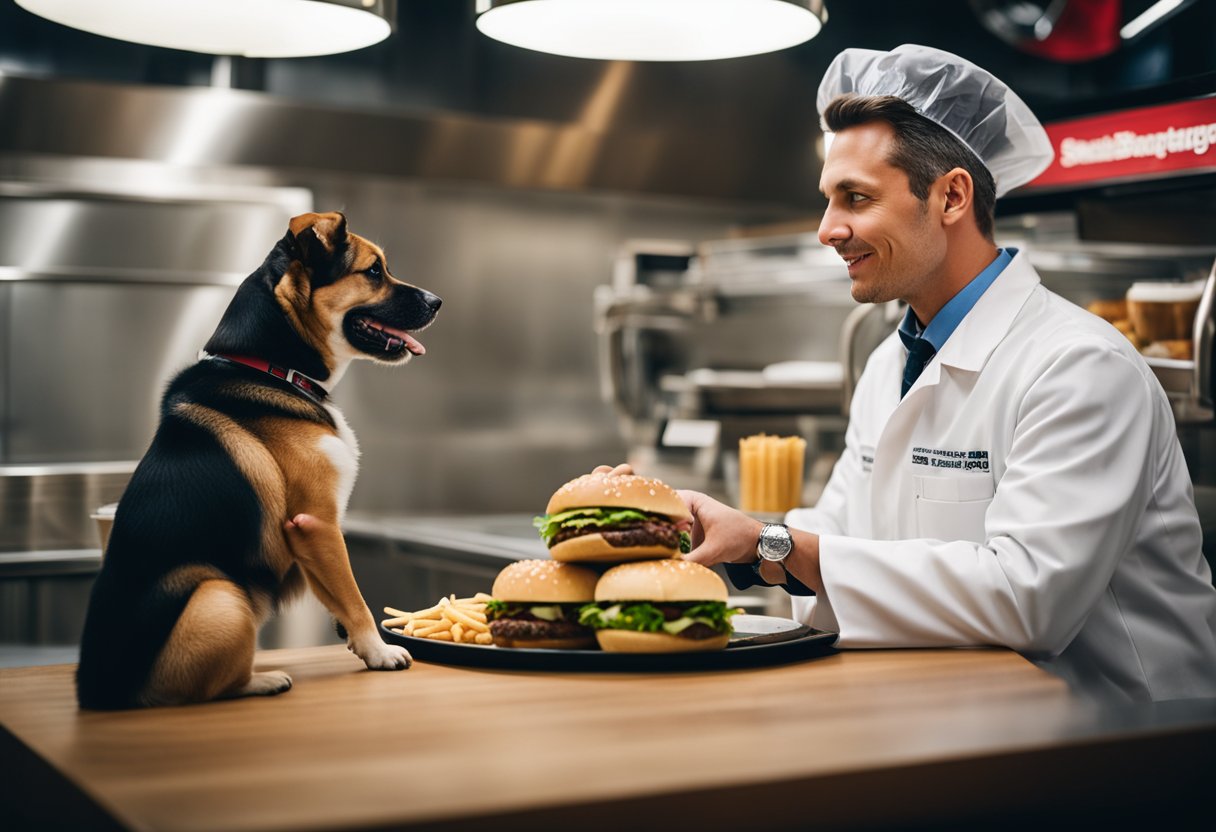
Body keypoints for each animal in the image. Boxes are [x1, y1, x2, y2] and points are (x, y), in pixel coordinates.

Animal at [76, 212, 440, 710]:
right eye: (373, 271)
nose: (438, 301)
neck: (271, 368)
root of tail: (95, 691)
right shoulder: (316, 523)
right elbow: (354, 596)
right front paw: (380, 651)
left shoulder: (312, 537)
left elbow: (338, 593)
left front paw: (358, 643)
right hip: (221, 594)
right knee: (199, 689)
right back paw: (263, 680)